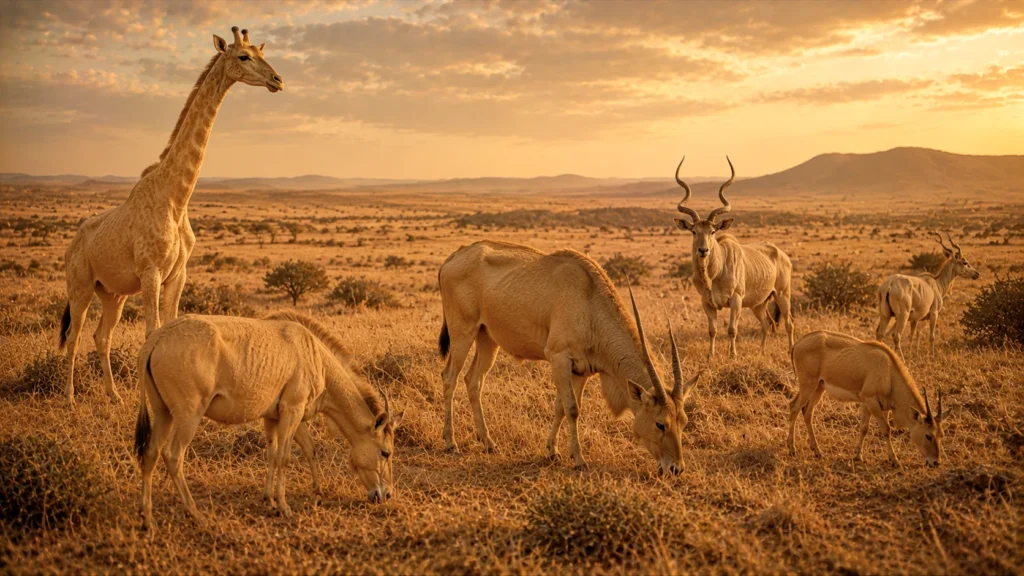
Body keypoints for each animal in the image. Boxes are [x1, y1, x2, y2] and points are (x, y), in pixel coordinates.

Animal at [58, 27, 283, 404]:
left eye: (262, 53)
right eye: (243, 56)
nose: (277, 80)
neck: (176, 198)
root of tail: (72, 243)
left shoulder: (178, 275)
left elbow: (171, 328)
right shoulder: (151, 272)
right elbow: (151, 333)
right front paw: (149, 404)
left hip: (113, 293)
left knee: (101, 336)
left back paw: (113, 396)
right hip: (81, 285)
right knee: (74, 337)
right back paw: (72, 398)